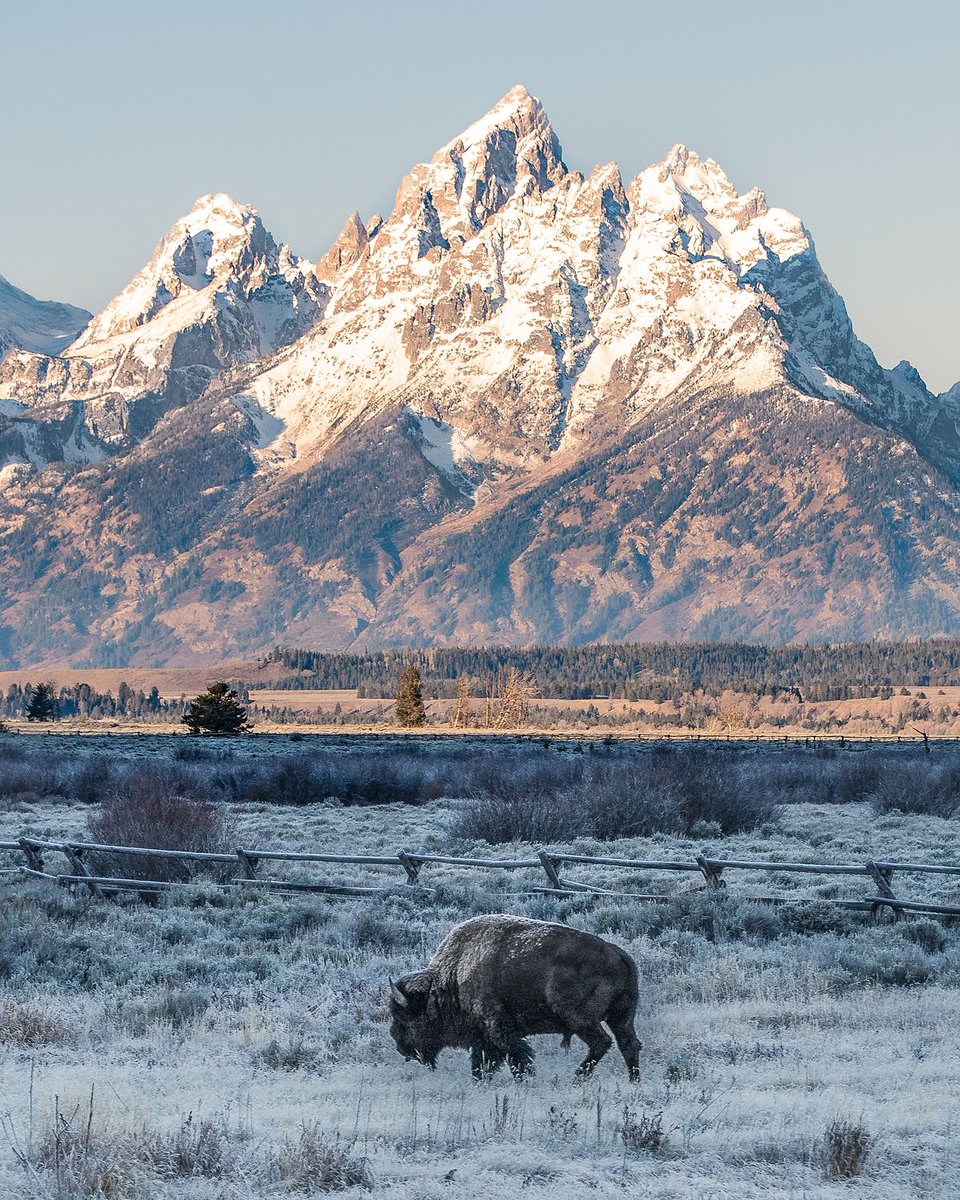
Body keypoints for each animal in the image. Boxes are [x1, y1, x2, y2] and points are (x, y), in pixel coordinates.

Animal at [388, 914, 641, 1080]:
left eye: (404, 1017)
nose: (400, 1046)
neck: (452, 976)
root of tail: (617, 953)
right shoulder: (482, 1037)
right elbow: (482, 1064)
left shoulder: (498, 1030)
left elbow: (517, 1057)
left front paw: (525, 1080)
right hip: (621, 1017)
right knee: (629, 1044)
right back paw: (633, 1081)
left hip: (581, 1019)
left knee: (602, 1042)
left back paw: (577, 1077)